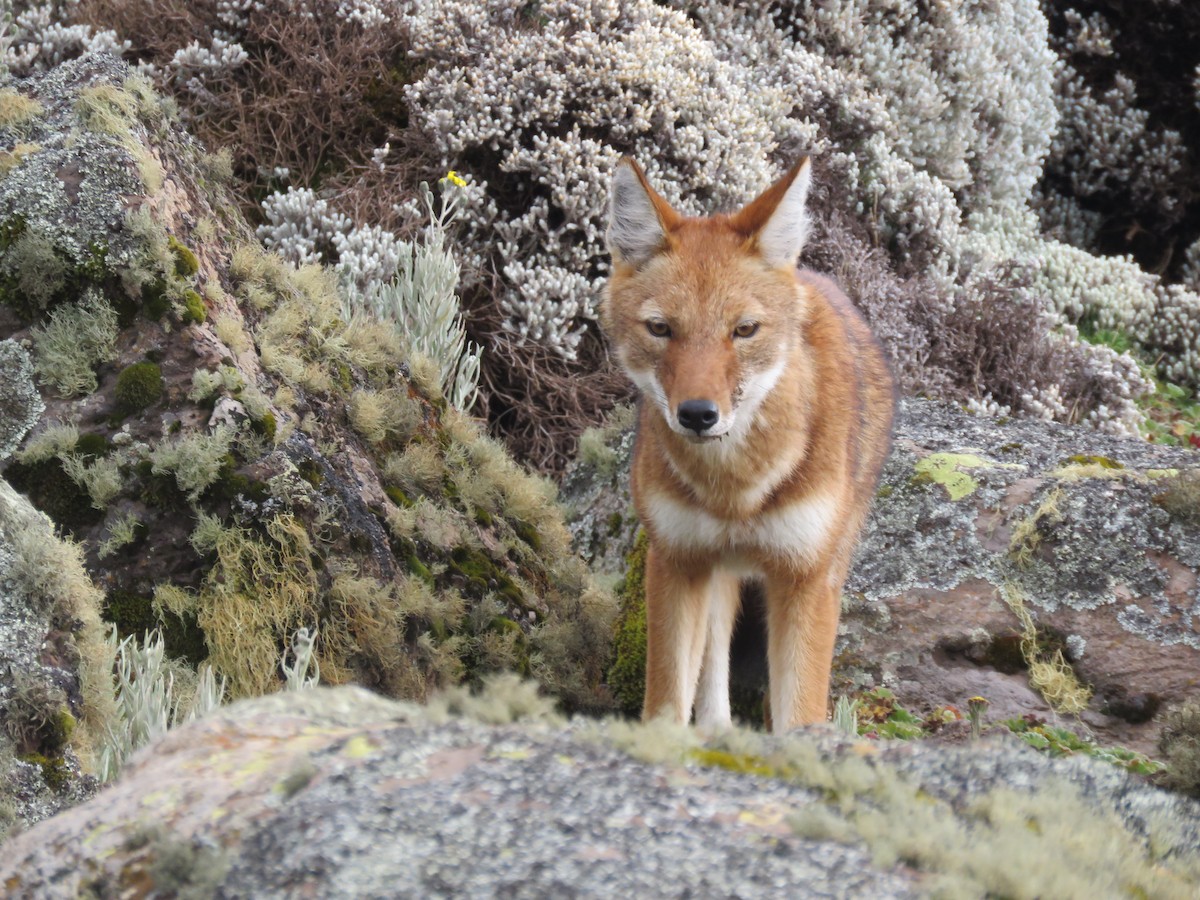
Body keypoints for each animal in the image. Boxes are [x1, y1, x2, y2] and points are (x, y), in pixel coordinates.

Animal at [602, 157, 894, 733]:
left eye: (744, 330)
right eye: (661, 329)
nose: (697, 414)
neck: (734, 490)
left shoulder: (805, 581)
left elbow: (800, 717)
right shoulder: (676, 563)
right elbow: (666, 706)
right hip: (715, 574)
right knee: (712, 673)